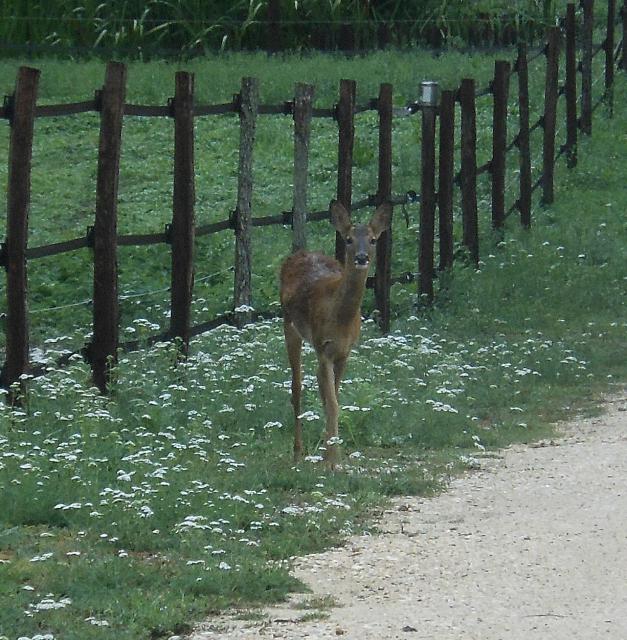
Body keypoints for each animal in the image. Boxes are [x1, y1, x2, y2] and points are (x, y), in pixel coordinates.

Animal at [280, 201, 392, 470]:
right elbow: (332, 403)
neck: (339, 317)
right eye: (348, 239)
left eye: (373, 240)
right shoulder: (324, 347)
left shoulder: (344, 352)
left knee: (316, 385)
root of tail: (299, 253)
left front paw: (328, 453)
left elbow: (333, 398)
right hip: (290, 325)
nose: (362, 257)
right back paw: (297, 453)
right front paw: (333, 461)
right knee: (296, 388)